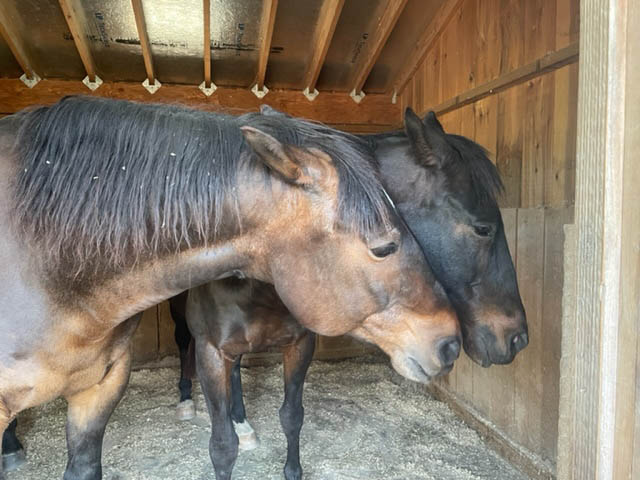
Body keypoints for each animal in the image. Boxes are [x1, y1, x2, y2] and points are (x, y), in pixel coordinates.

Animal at [0, 97, 460, 480]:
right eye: (384, 247)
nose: (451, 345)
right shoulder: (208, 351)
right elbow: (222, 446)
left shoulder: (98, 389)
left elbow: (291, 415)